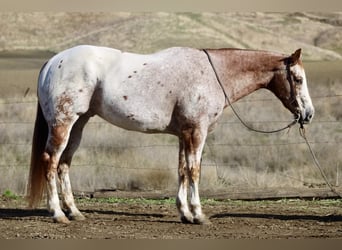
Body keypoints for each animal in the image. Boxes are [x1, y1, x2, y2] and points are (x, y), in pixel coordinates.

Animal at [28, 45, 314, 225]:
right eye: (298, 79)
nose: (308, 114)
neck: (213, 74)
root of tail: (53, 62)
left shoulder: (183, 134)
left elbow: (182, 171)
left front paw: (184, 213)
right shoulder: (197, 132)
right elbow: (195, 170)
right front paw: (198, 214)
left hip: (79, 124)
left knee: (64, 164)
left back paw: (74, 212)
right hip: (63, 124)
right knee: (50, 161)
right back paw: (58, 214)